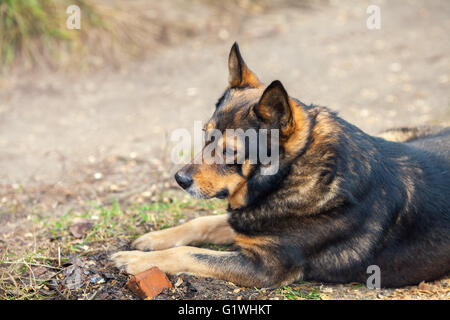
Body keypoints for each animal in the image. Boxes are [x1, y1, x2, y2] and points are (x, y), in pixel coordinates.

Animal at [110, 42, 448, 288]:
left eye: (229, 151)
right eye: (205, 135)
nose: (179, 179)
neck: (288, 174)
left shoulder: (265, 267)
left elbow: (192, 254)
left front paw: (137, 261)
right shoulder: (247, 219)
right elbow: (200, 223)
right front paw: (153, 240)